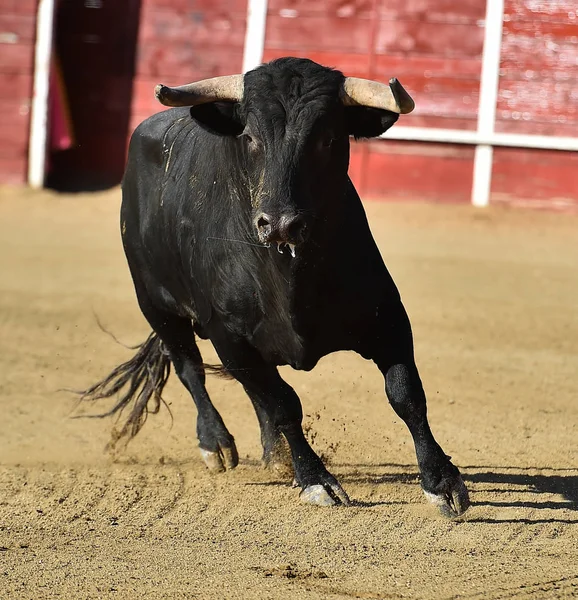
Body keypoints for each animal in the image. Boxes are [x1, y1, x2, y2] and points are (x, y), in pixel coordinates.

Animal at [81, 57, 468, 516]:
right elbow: (283, 405)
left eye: (327, 138)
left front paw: (442, 482)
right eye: (250, 137)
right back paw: (217, 444)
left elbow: (406, 394)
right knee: (192, 370)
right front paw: (317, 480)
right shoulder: (229, 338)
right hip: (157, 306)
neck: (291, 278)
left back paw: (276, 455)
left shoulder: (387, 320)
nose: (280, 224)